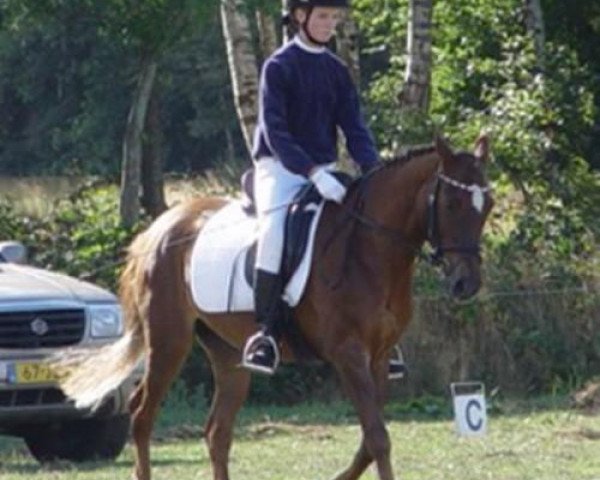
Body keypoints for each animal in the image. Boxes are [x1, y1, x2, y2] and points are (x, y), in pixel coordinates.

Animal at [56, 134, 494, 480]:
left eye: (486, 205)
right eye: (452, 204)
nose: (466, 284)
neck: (370, 250)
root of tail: (158, 230)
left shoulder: (380, 356)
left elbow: (370, 440)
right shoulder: (348, 354)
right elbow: (378, 438)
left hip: (228, 354)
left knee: (217, 432)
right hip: (168, 342)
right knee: (142, 415)